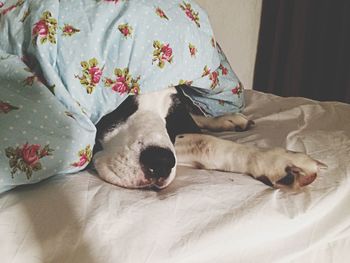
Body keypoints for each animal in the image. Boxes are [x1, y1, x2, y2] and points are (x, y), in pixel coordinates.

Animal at [93, 86, 328, 192]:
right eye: (118, 105)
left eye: (170, 112)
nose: (160, 163)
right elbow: (204, 141)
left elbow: (203, 140)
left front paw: (277, 161)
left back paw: (226, 119)